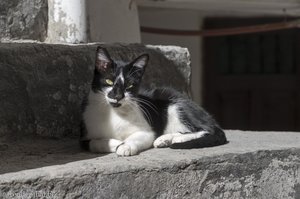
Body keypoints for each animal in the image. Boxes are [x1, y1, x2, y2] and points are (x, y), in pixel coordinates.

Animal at [81, 46, 226, 155]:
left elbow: (138, 137)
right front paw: (116, 143)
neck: (113, 113)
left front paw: (125, 146)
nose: (117, 96)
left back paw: (175, 139)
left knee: (207, 129)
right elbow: (94, 143)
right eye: (109, 81)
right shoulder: (84, 136)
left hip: (172, 101)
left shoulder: (147, 132)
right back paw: (166, 139)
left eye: (129, 85)